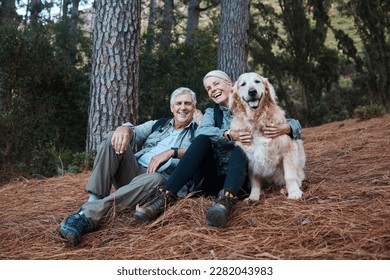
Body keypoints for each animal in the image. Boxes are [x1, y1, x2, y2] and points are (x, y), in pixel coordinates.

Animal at [230, 72, 306, 201]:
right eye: (243, 84)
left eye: (257, 81)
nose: (252, 91)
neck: (256, 120)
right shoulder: (250, 159)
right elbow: (255, 181)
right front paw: (253, 197)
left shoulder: (288, 149)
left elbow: (290, 176)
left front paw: (294, 192)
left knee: (297, 178)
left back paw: (286, 189)